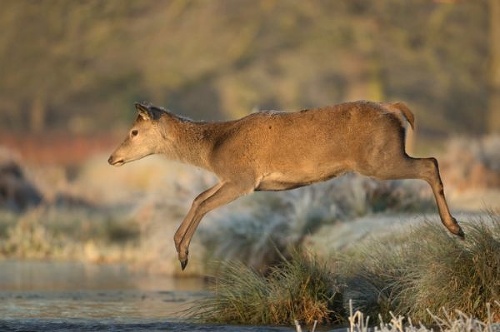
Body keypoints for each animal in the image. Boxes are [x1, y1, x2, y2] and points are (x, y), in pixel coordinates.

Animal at [109, 100, 464, 268]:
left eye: (134, 132)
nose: (112, 158)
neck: (213, 150)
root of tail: (394, 109)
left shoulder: (242, 177)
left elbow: (204, 203)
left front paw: (182, 253)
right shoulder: (232, 178)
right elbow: (197, 198)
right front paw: (180, 251)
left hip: (378, 159)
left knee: (430, 164)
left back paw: (455, 228)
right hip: (383, 156)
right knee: (431, 162)